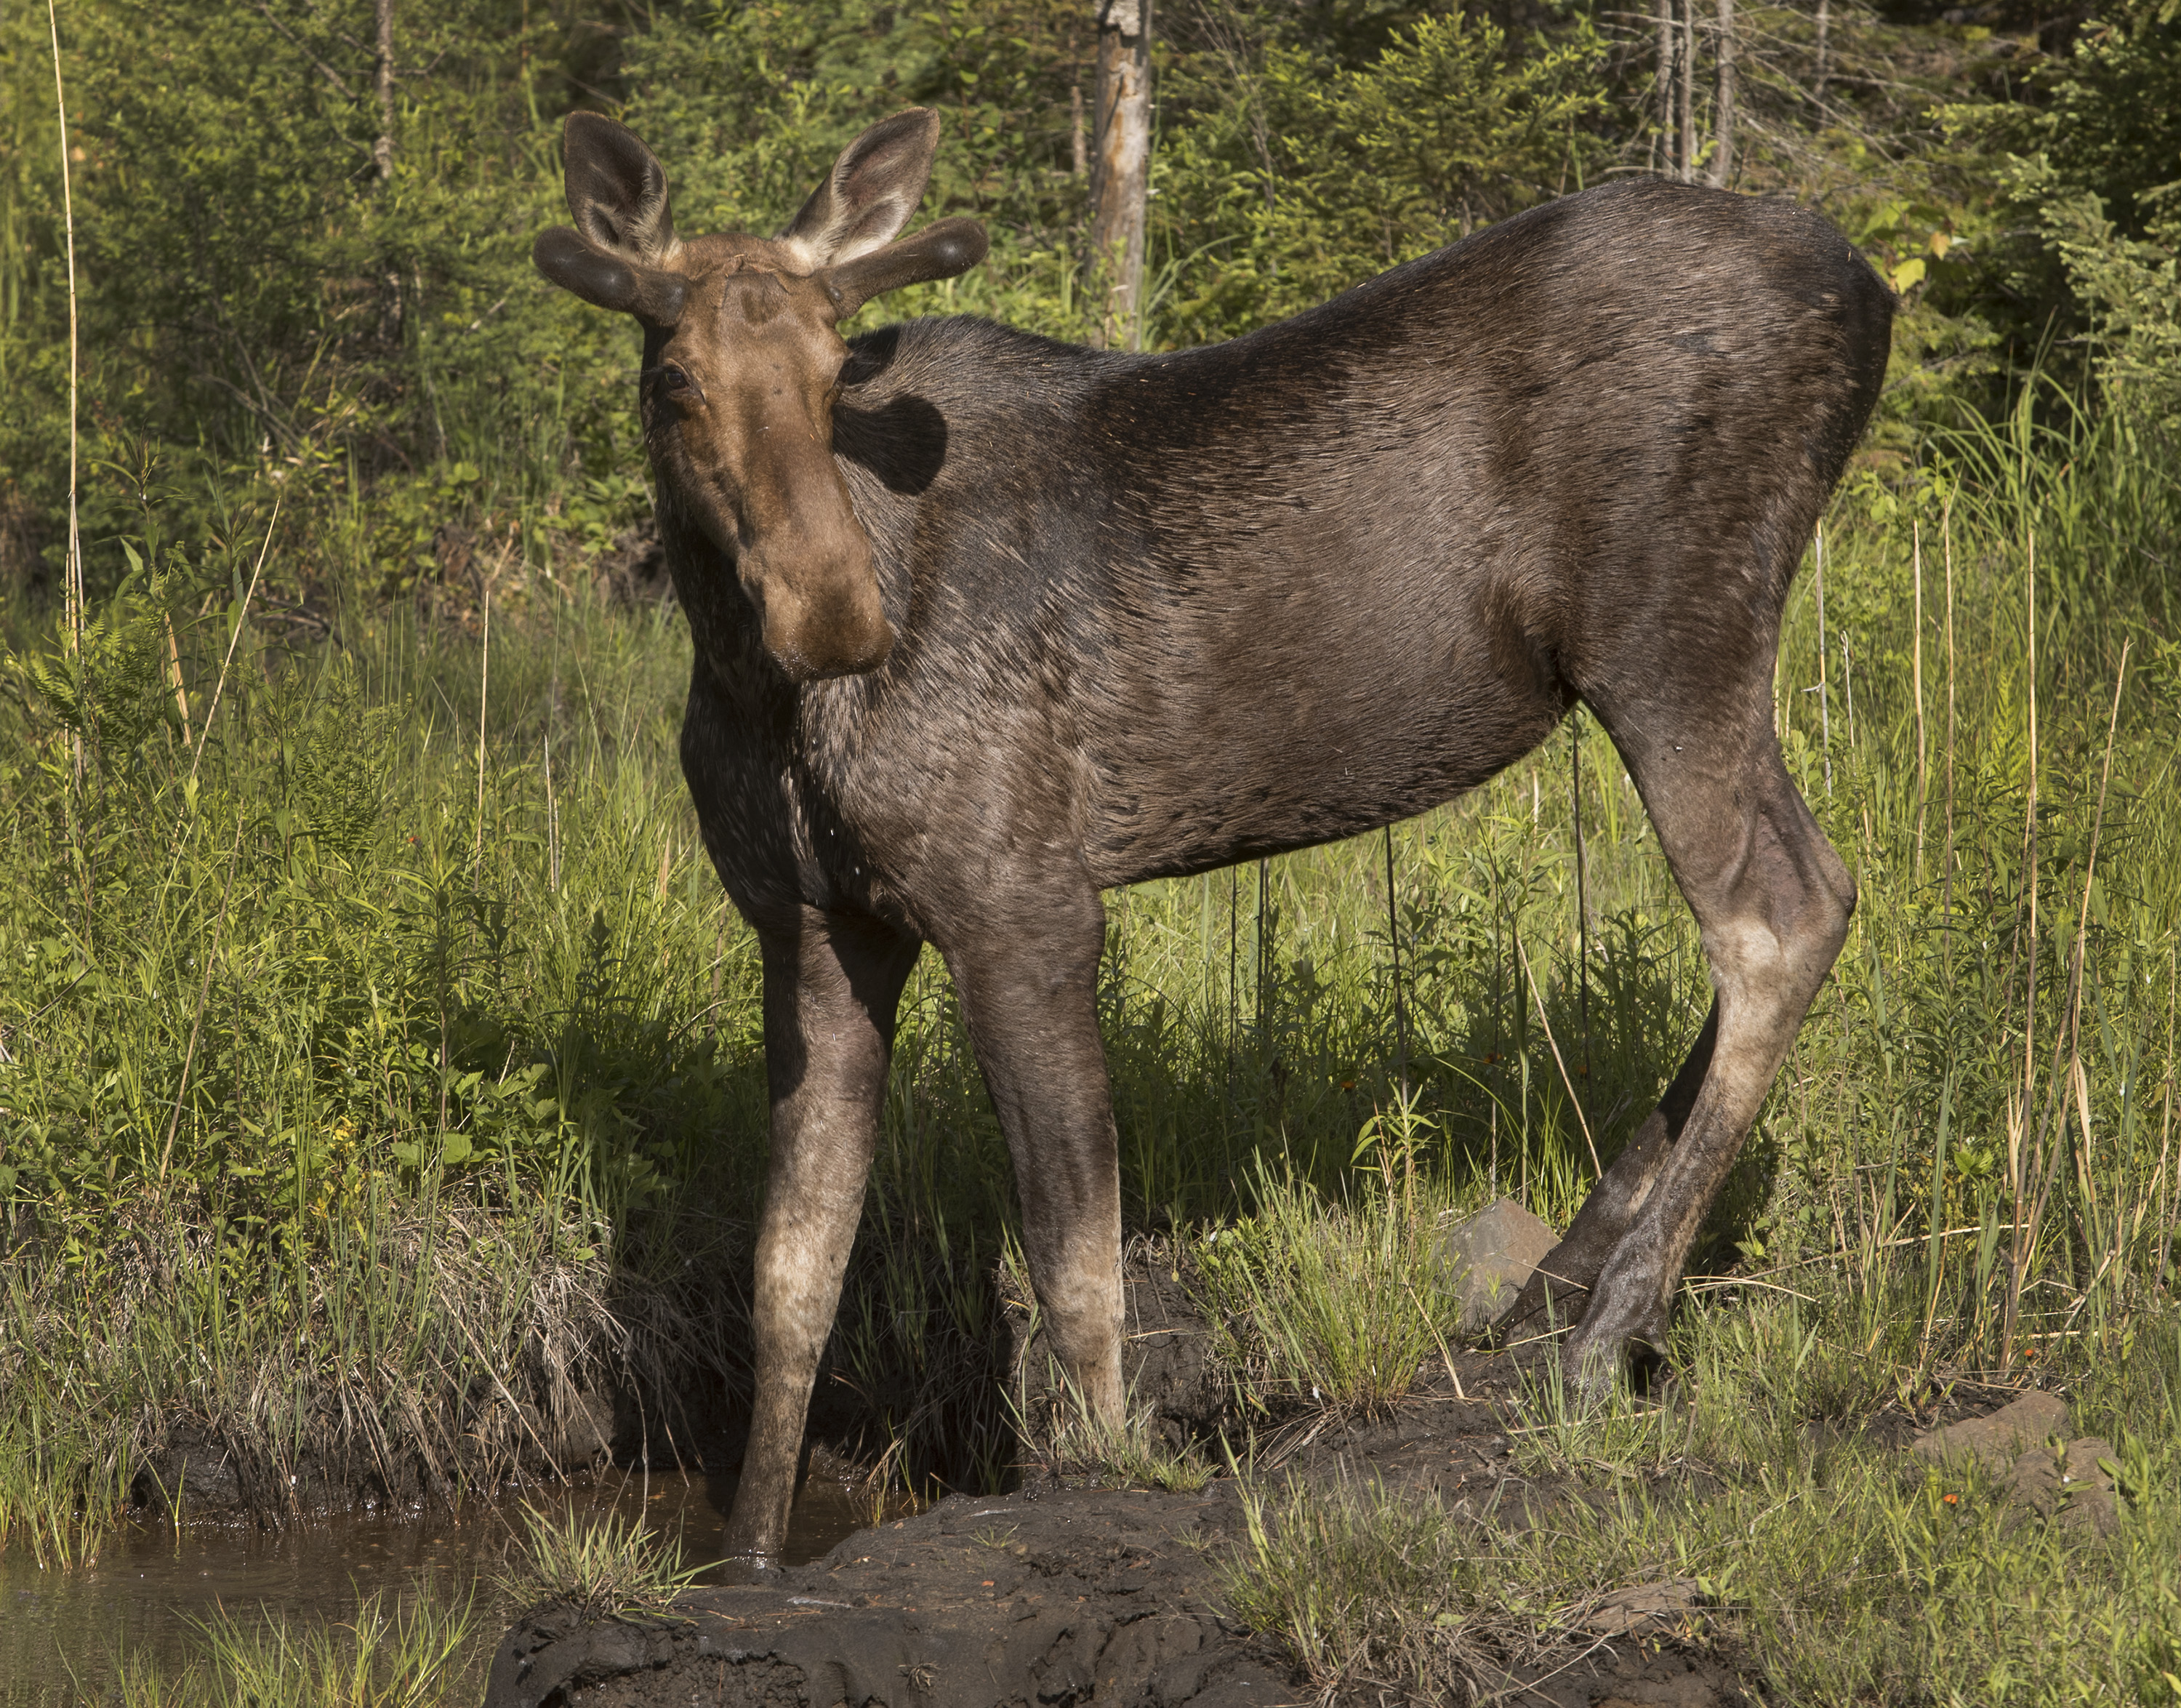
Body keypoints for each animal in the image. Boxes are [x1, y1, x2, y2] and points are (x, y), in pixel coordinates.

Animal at [532, 110, 1893, 1579]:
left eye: (838, 367)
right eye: (673, 379)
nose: (834, 607)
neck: (753, 689)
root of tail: (1869, 290)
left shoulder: (1023, 899)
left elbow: (1074, 1257)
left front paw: (1098, 1469)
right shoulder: (816, 922)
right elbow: (791, 1273)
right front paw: (747, 1559)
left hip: (1669, 635)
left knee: (1780, 913)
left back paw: (1609, 1330)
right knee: (1795, 907)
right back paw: (1555, 1287)